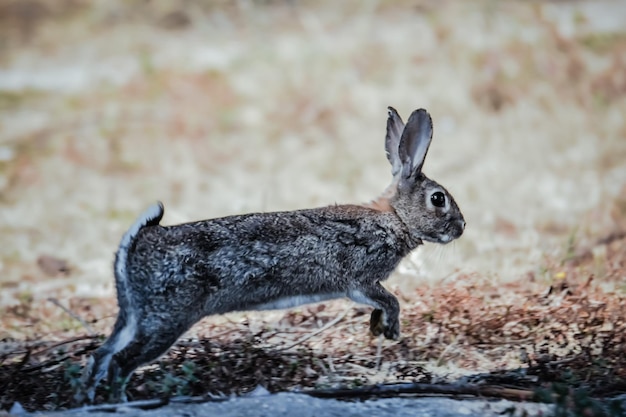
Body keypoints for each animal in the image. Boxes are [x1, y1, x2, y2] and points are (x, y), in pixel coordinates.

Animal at [78, 105, 464, 402]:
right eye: (438, 199)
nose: (461, 227)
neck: (395, 218)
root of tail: (139, 241)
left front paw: (376, 328)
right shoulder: (360, 279)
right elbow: (390, 300)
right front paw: (390, 330)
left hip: (134, 314)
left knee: (102, 355)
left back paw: (89, 399)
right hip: (167, 317)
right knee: (121, 362)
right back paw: (120, 401)